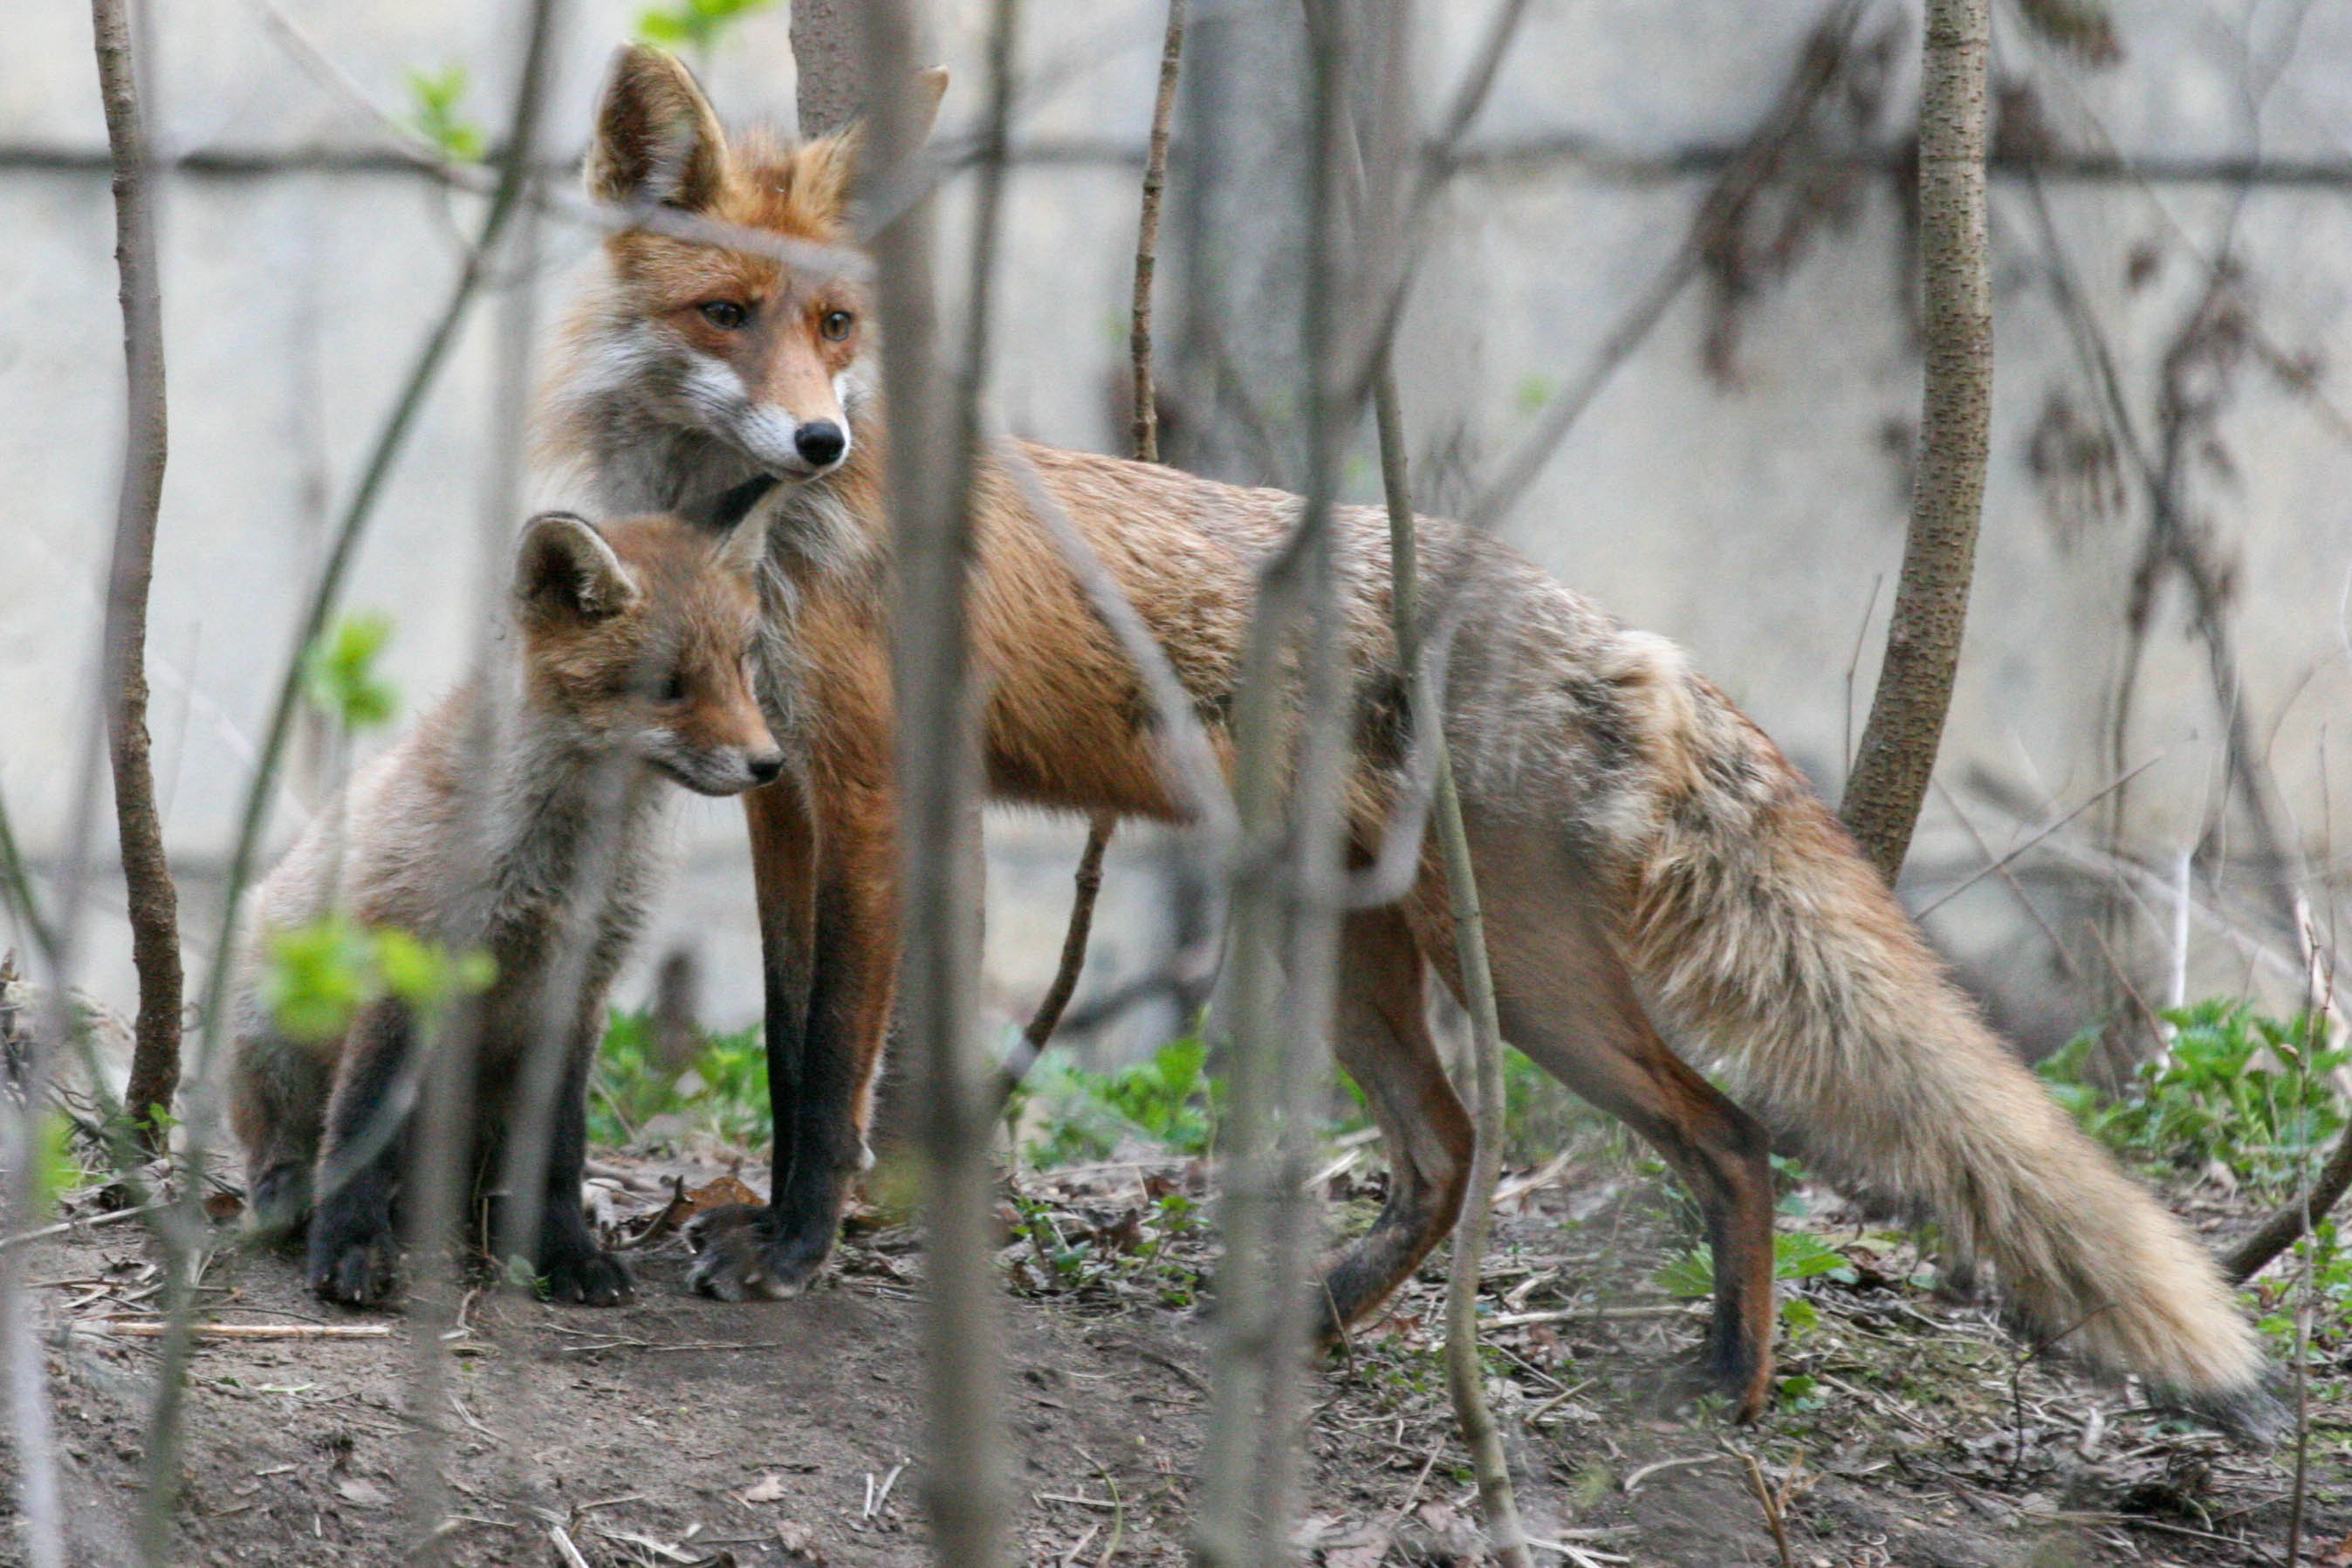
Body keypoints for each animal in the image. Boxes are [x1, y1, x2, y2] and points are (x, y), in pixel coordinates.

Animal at [230, 493, 785, 1316]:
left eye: (743, 668)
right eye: (669, 684)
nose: (770, 763)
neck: (559, 869)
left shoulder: (579, 988)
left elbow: (558, 1147)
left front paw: (566, 1254)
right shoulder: (408, 959)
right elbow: (361, 1119)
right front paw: (351, 1245)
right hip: (270, 1020)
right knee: (284, 1139)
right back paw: (290, 1194)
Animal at [540, 39, 2266, 1438]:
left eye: (837, 323)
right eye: (726, 313)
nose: (821, 438)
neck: (758, 546)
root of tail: (1627, 636)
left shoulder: (876, 792)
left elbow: (831, 1064)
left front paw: (796, 1250)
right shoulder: (781, 800)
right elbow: (783, 1039)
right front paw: (766, 1228)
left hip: (1528, 972)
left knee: (1726, 1138)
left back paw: (1730, 1384)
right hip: (1346, 950)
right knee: (1446, 1153)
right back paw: (1308, 1325)